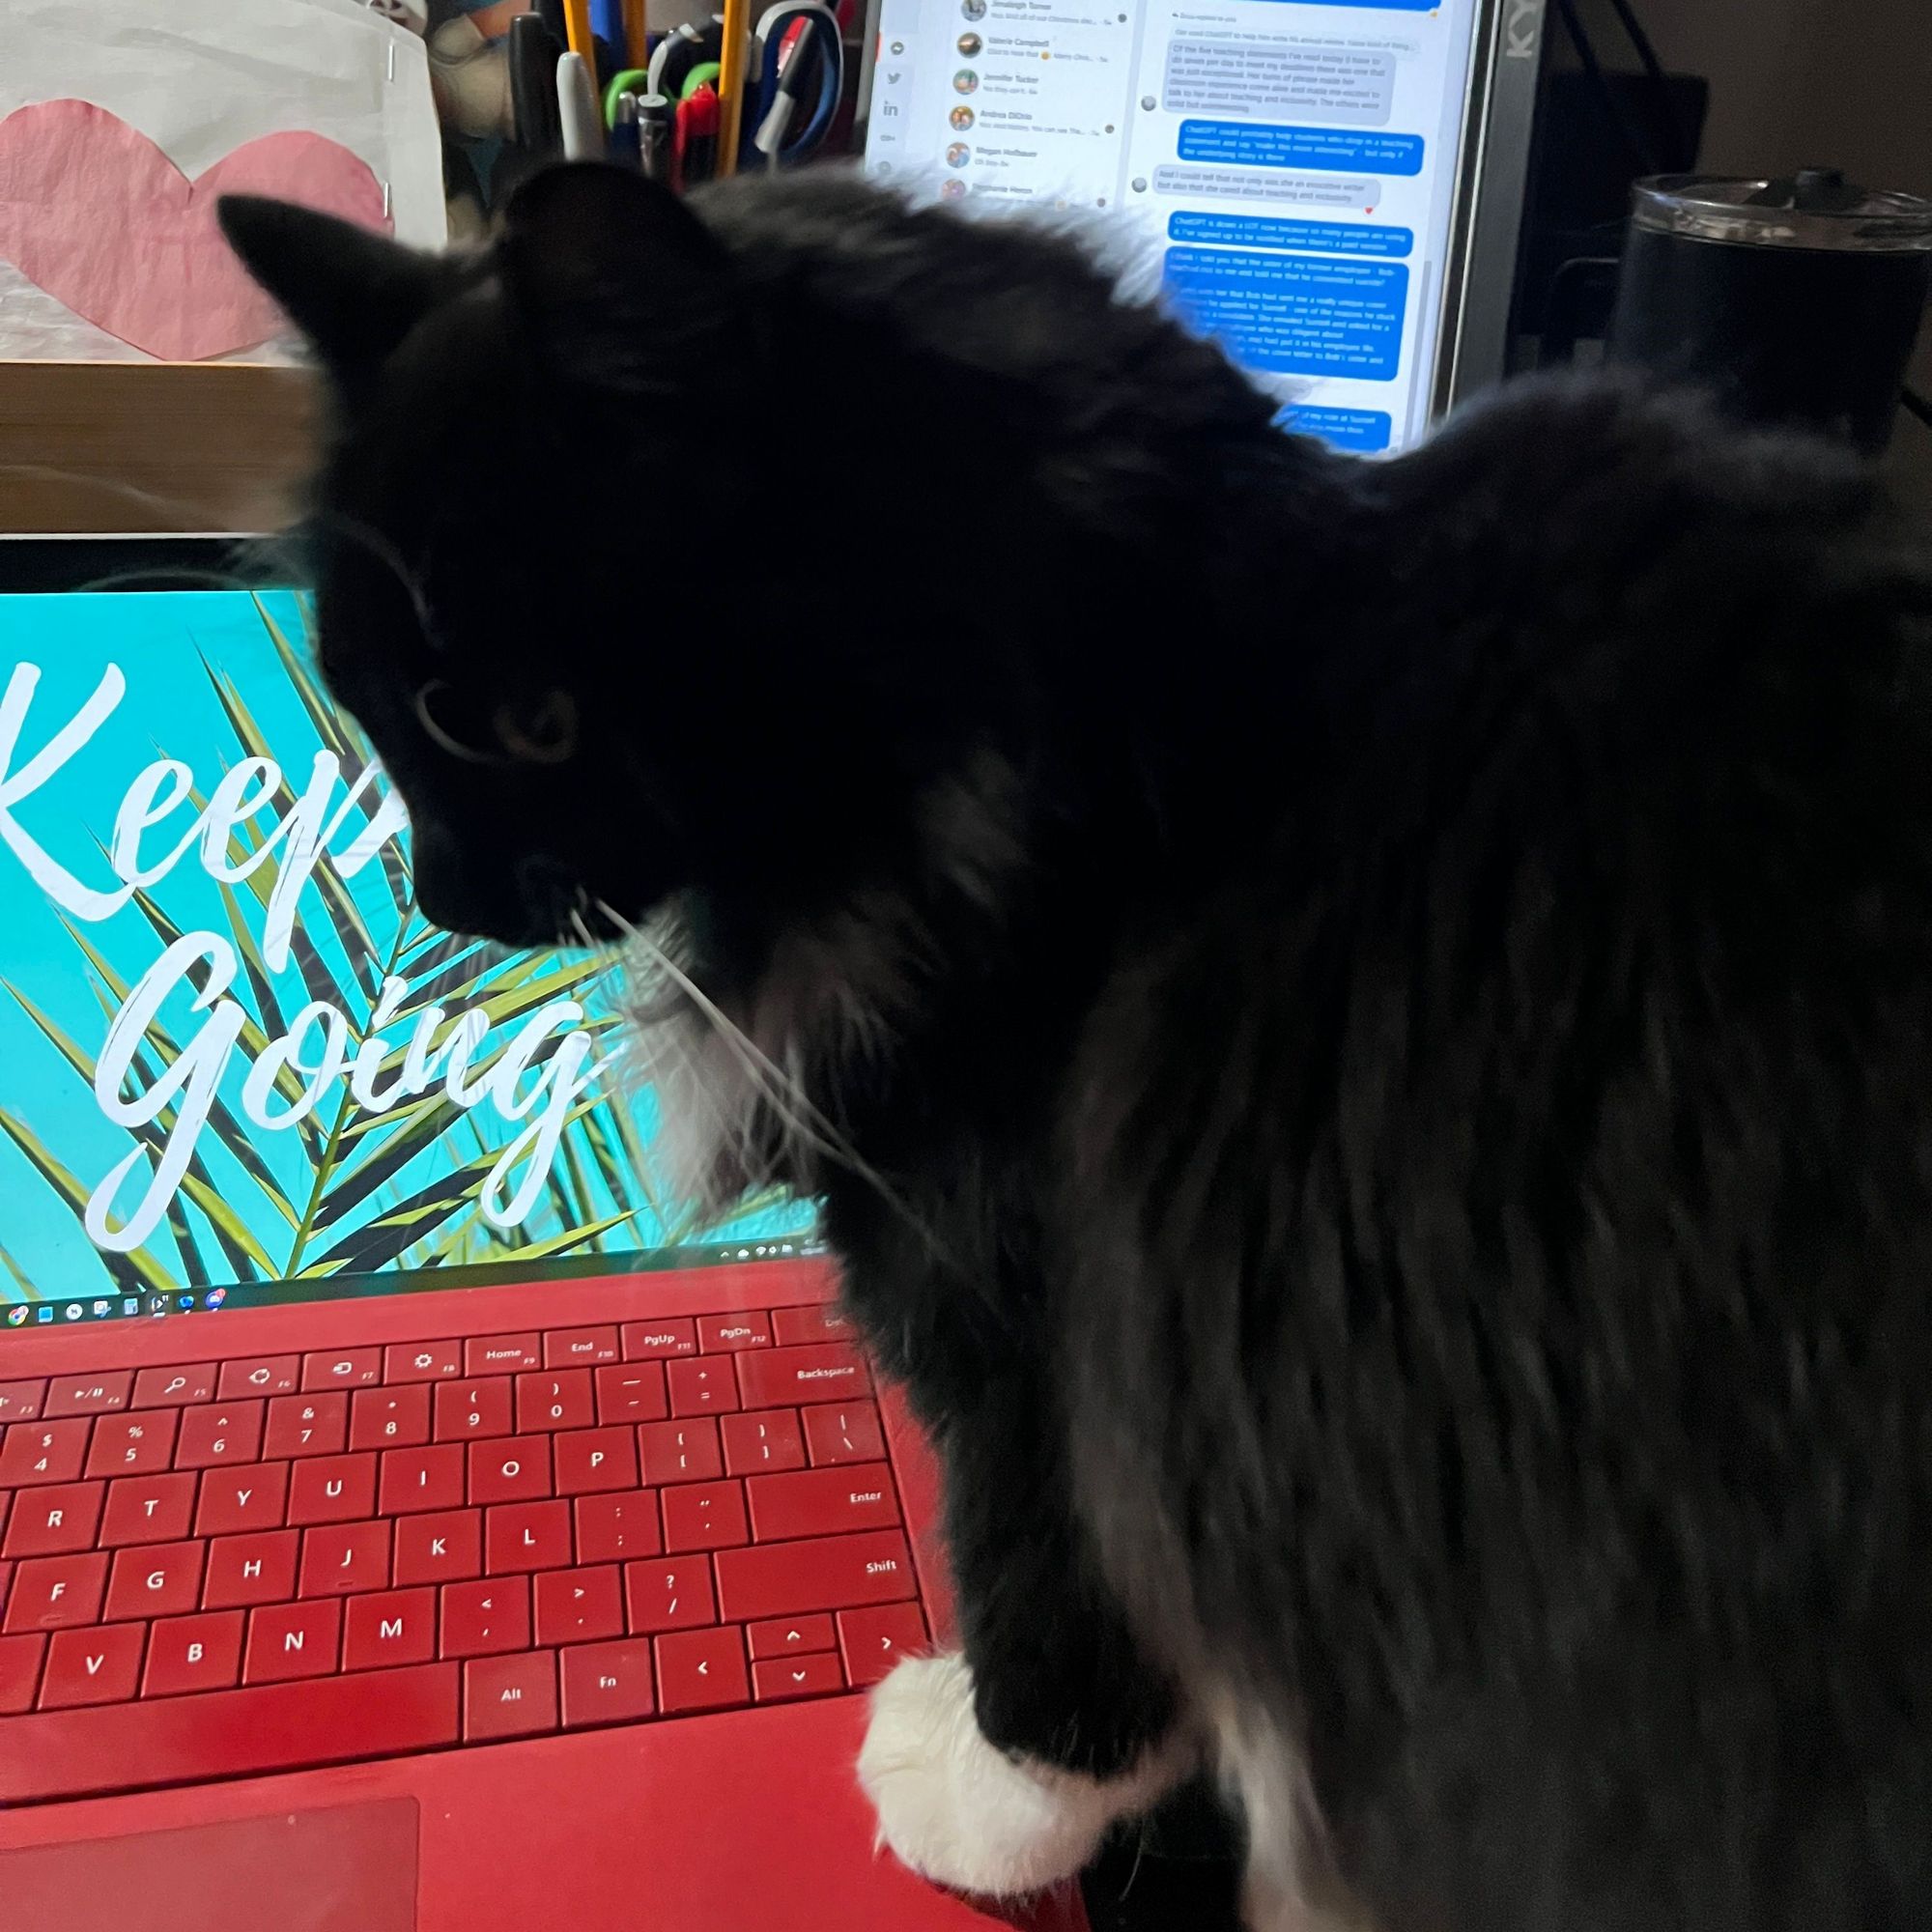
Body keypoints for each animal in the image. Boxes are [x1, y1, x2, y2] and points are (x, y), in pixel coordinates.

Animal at [219, 170, 1932, 1932]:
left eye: (514, 722)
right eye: (356, 699)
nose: (441, 896)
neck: (1154, 723)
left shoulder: (1025, 1335)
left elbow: (1046, 1628)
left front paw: (973, 1802)